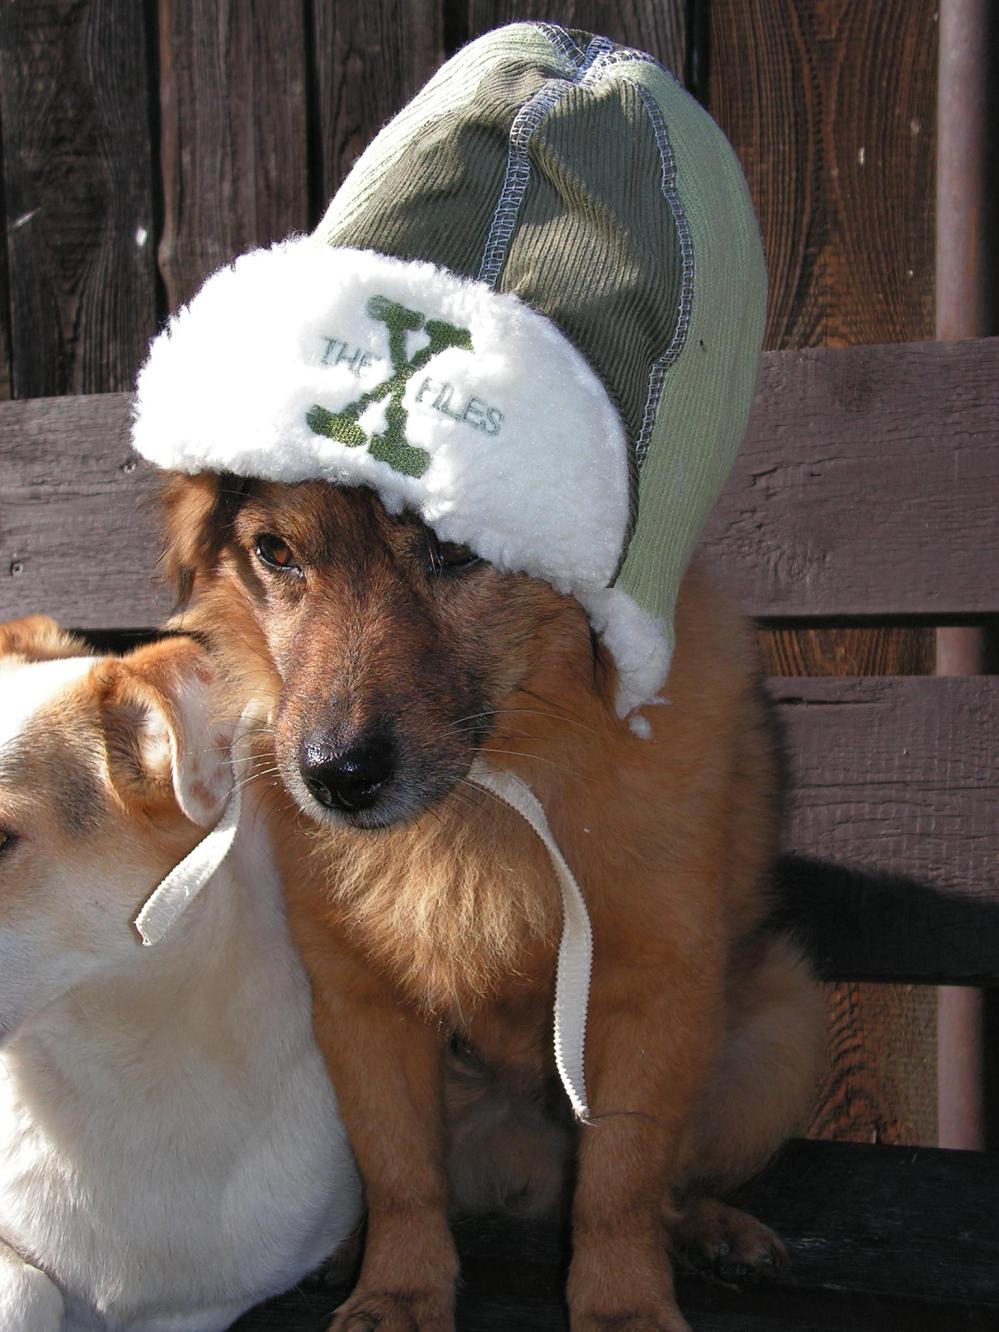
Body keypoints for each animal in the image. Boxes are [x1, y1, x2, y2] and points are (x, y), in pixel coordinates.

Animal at [161, 473, 825, 1332]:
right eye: (274, 552)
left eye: (459, 547)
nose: (335, 777)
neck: (483, 793)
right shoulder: (361, 1006)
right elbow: (402, 1175)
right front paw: (398, 1292)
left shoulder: (651, 996)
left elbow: (622, 1184)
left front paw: (623, 1307)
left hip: (783, 1030)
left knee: (673, 1184)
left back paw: (713, 1229)